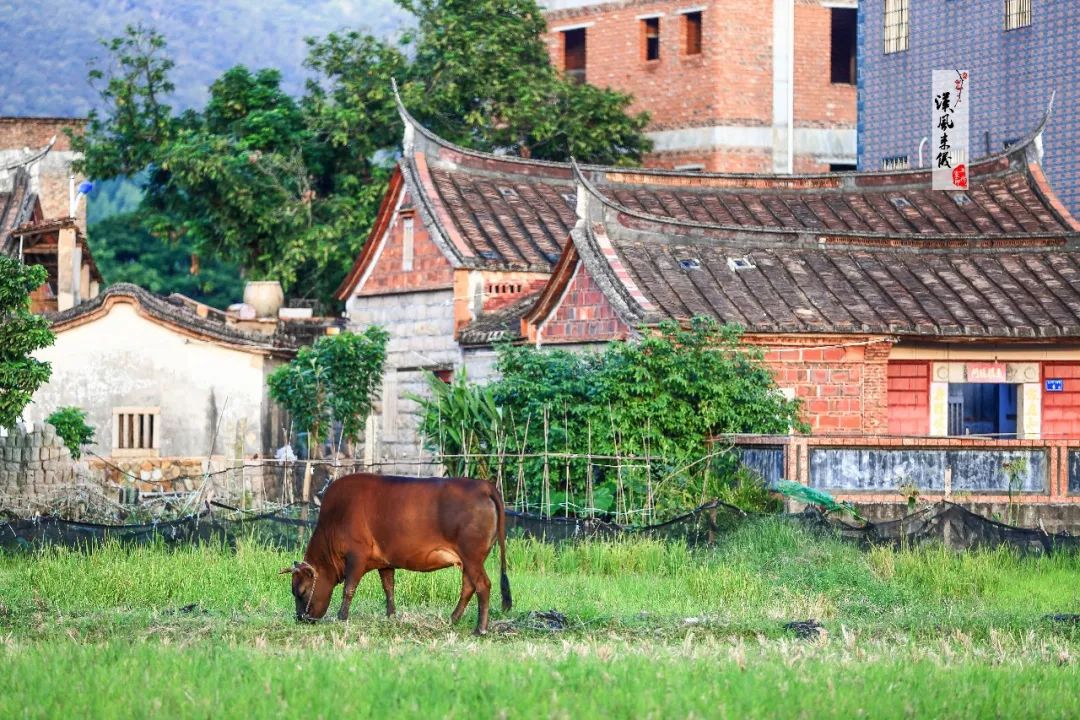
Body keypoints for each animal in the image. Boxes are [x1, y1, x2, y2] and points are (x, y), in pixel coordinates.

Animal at [280, 474, 511, 634]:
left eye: (300, 591)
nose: (301, 618)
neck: (335, 518)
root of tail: (482, 485)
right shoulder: (385, 562)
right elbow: (388, 588)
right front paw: (391, 616)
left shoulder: (356, 556)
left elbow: (349, 589)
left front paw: (341, 617)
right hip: (468, 560)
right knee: (468, 587)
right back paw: (452, 619)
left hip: (472, 557)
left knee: (483, 585)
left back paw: (480, 629)